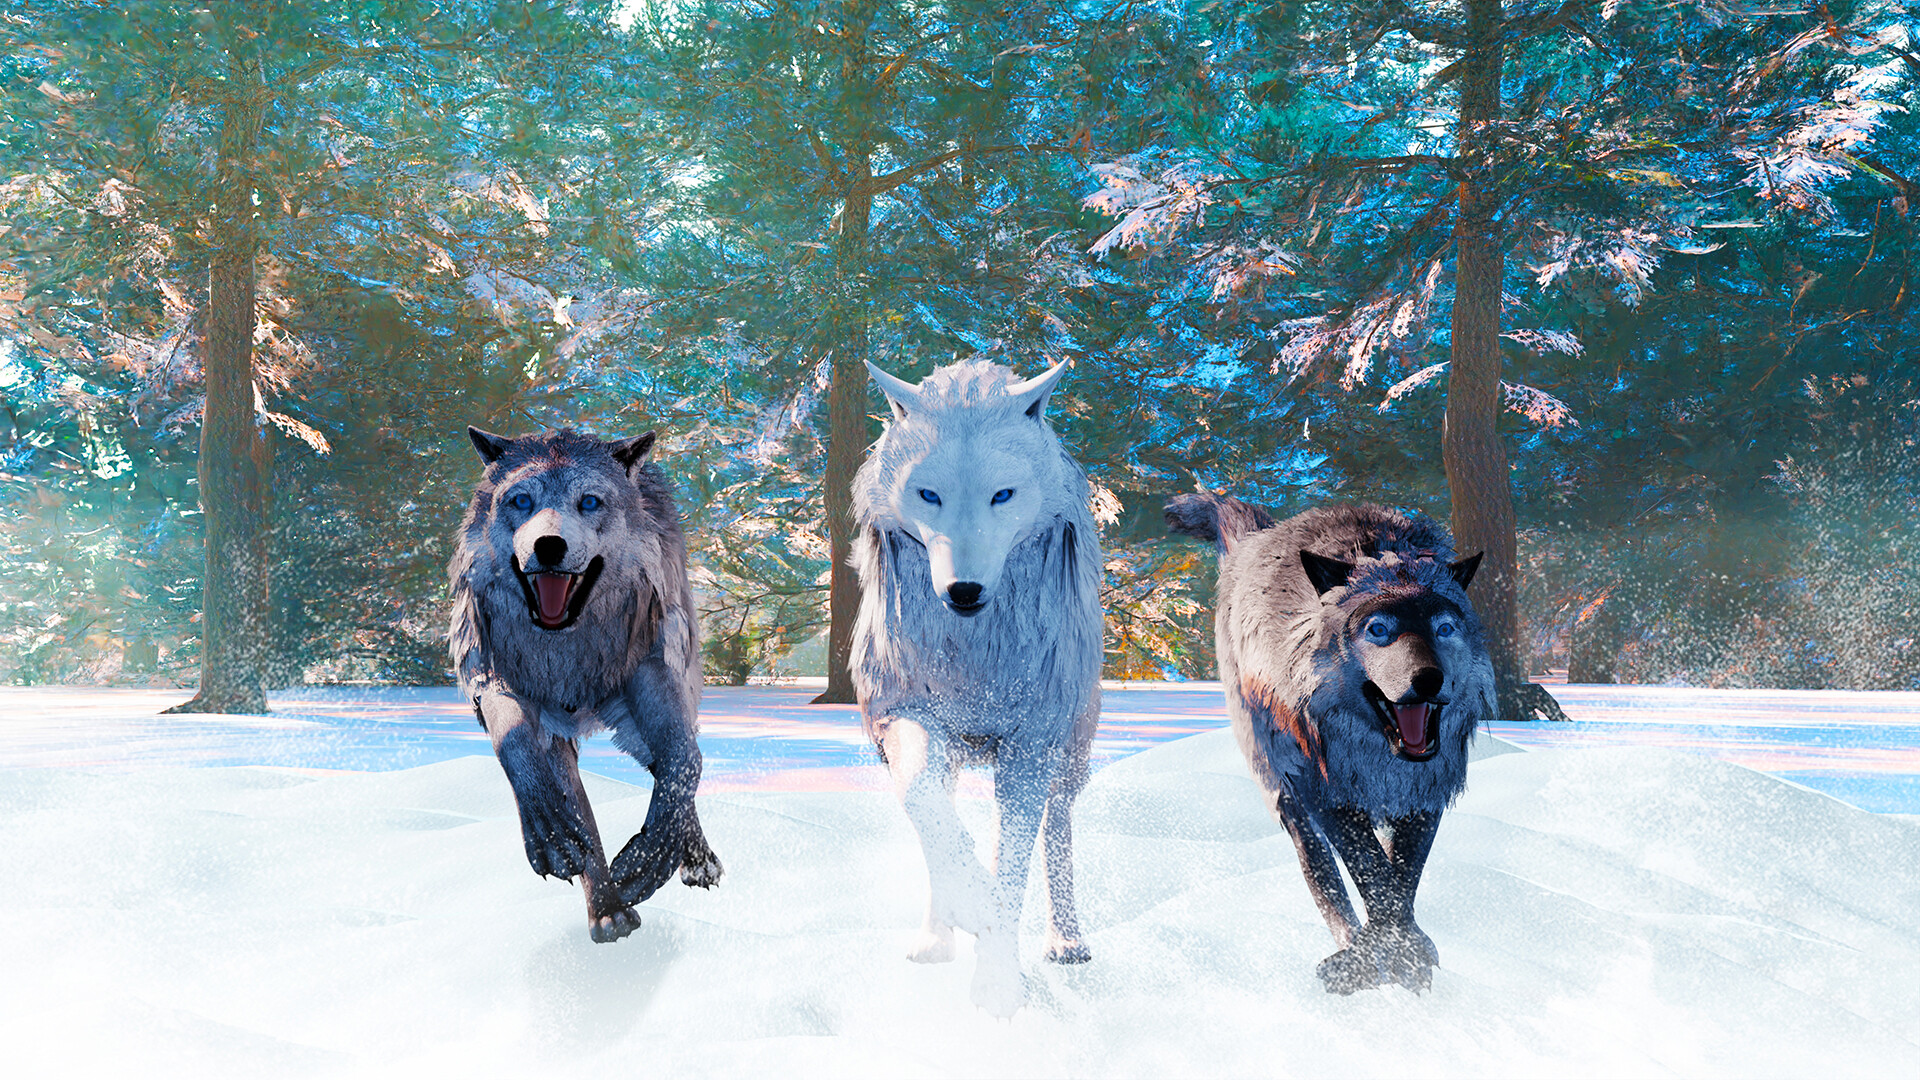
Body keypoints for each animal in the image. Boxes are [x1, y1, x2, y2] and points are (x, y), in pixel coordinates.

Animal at [448, 427, 722, 943]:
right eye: (521, 501)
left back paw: (694, 859)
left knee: (672, 765)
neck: (569, 655)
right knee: (581, 803)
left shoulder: (653, 674)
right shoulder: (499, 682)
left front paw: (647, 861)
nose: (548, 546)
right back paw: (607, 907)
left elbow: (684, 762)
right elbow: (518, 751)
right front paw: (555, 840)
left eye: (590, 501)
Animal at [852, 359, 1104, 1017]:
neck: (972, 654)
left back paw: (1066, 941)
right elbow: (925, 806)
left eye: (1003, 495)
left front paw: (996, 982)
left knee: (1055, 824)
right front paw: (967, 907)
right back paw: (935, 936)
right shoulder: (906, 714)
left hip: (1070, 747)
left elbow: (1012, 862)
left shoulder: (1030, 742)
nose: (963, 591)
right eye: (928, 494)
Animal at [1165, 493, 1494, 993]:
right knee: (1319, 871)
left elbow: (1403, 873)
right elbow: (1371, 868)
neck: (1379, 758)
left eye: (1444, 628)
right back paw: (1348, 945)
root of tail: (1256, 537)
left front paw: (1406, 952)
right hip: (1282, 788)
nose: (1429, 679)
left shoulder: (1425, 792)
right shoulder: (1326, 789)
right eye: (1378, 630)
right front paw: (1380, 957)